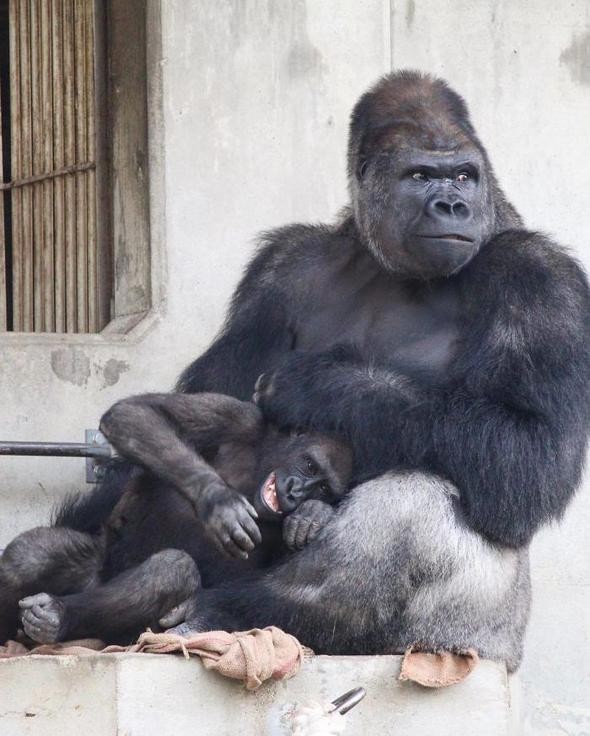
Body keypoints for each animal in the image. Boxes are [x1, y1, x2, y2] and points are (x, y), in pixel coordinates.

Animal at [0, 392, 354, 644]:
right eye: (309, 465)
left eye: (323, 487)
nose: (297, 491)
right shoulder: (237, 416)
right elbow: (136, 414)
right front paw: (218, 500)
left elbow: (281, 595)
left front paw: (312, 515)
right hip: (97, 567)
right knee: (30, 554)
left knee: (171, 571)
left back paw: (58, 618)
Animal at [119, 72, 590, 668]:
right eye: (420, 175)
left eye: (464, 174)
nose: (453, 205)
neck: (388, 263)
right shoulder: (280, 269)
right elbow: (212, 402)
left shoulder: (542, 281)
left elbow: (533, 458)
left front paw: (317, 385)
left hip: (472, 639)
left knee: (415, 498)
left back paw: (227, 611)